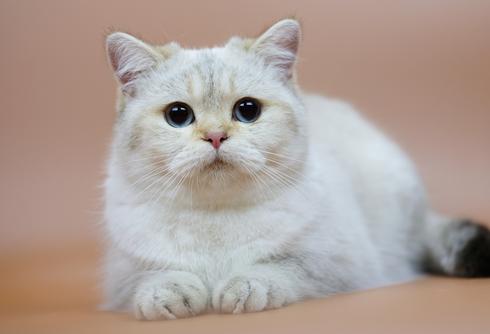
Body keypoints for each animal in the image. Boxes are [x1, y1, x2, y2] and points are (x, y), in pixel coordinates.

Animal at [102, 18, 490, 320]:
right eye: (178, 115)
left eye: (247, 110)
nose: (215, 136)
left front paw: (243, 287)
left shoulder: (336, 263)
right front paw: (170, 295)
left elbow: (278, 267)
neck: (217, 218)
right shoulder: (124, 273)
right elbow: (156, 276)